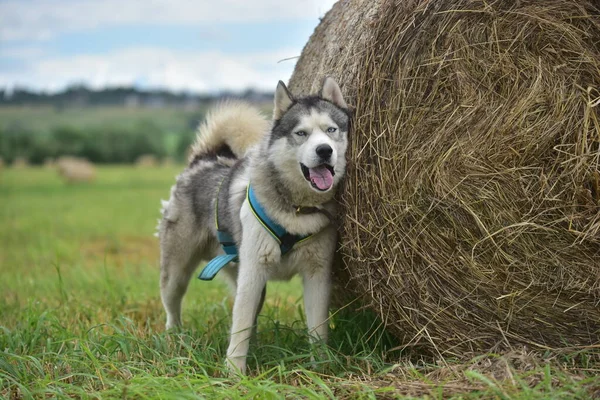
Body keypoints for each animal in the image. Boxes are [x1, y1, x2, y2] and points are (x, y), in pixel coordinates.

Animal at [157, 78, 350, 376]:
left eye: (331, 130)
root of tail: (203, 160)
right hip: (177, 273)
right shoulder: (253, 272)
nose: (324, 150)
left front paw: (321, 366)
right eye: (301, 133)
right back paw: (174, 340)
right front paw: (234, 373)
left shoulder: (317, 275)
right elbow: (239, 327)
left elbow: (317, 328)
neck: (296, 208)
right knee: (173, 307)